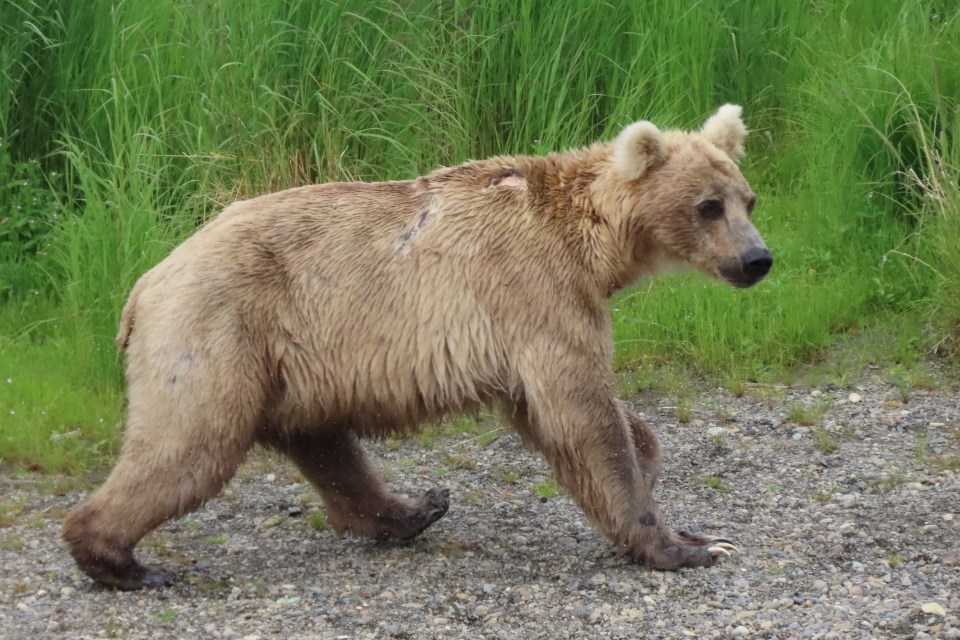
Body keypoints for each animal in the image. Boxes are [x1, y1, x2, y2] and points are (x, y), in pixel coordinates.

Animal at [62, 104, 772, 592]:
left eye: (748, 198)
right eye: (708, 206)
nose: (757, 259)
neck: (592, 246)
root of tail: (146, 284)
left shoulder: (534, 313)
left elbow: (577, 417)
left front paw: (668, 493)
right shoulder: (531, 288)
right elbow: (581, 412)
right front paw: (688, 546)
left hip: (290, 357)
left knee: (322, 443)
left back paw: (412, 511)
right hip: (219, 329)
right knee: (191, 441)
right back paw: (122, 561)